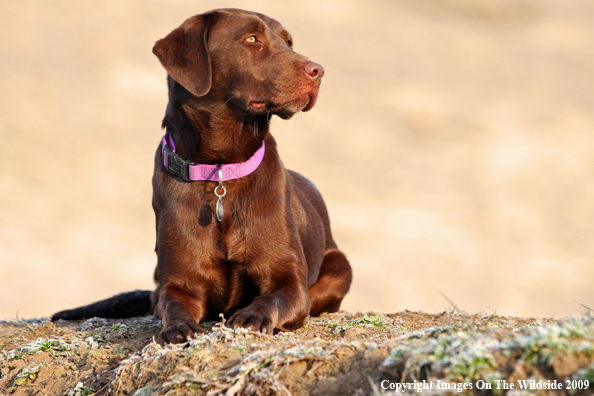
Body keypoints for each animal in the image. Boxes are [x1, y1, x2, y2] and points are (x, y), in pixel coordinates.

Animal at [52, 8, 352, 344]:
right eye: (252, 39)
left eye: (289, 42)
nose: (318, 70)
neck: (220, 169)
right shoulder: (178, 283)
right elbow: (173, 305)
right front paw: (179, 328)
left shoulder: (288, 281)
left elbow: (271, 298)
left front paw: (251, 316)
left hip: (340, 267)